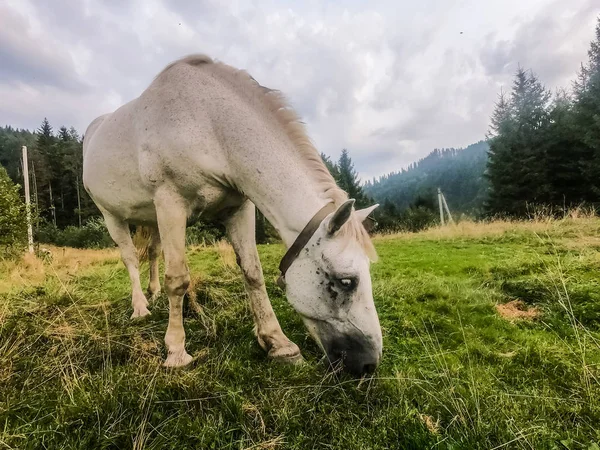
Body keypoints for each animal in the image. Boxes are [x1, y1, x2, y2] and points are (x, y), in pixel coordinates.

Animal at [82, 54, 382, 374]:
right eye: (346, 281)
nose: (368, 364)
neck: (208, 124)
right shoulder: (170, 203)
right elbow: (178, 279)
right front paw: (176, 351)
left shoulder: (239, 208)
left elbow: (252, 272)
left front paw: (278, 343)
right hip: (113, 216)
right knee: (129, 257)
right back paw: (140, 306)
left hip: (152, 218)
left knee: (151, 252)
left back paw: (153, 293)